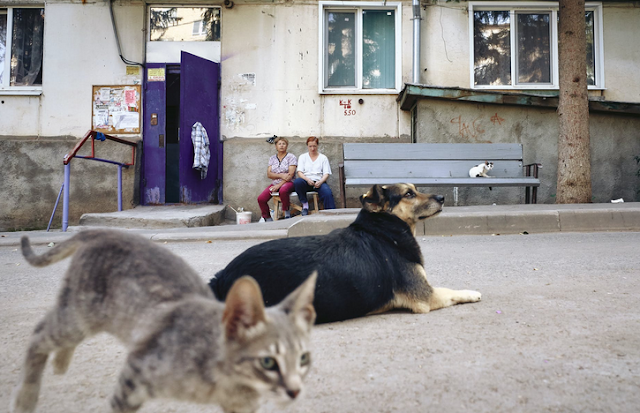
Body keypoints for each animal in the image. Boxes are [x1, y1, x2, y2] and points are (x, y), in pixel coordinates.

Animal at [12, 229, 318, 412]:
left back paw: (61, 362)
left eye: (304, 359)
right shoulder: (135, 375)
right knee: (39, 334)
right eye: (268, 362)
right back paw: (26, 398)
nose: (295, 391)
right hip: (79, 315)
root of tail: (103, 231)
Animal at [210, 182, 480, 324]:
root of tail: (222, 277)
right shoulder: (426, 296)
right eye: (409, 194)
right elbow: (451, 291)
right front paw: (472, 292)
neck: (383, 230)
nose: (442, 197)